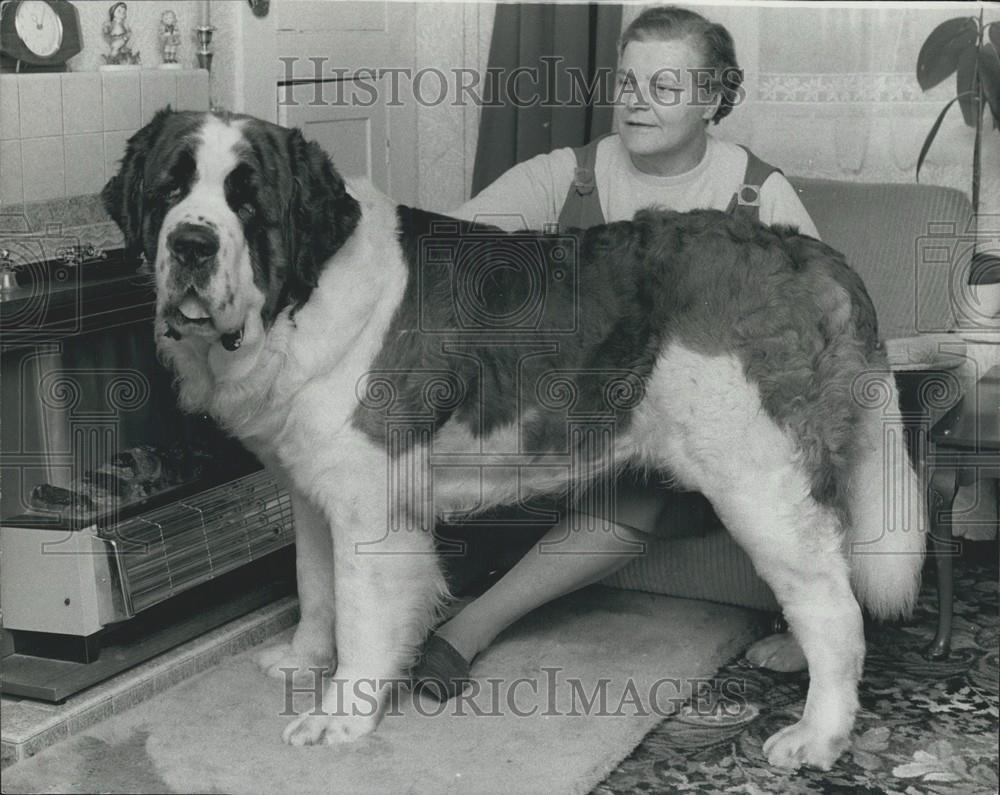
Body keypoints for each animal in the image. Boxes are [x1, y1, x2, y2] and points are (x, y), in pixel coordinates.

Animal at [105, 112, 924, 772]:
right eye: (169, 191)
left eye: (247, 201)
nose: (191, 243)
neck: (303, 294)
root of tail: (807, 253)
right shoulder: (312, 487)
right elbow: (314, 585)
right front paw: (302, 660)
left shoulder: (373, 509)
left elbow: (362, 610)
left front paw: (341, 716)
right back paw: (790, 656)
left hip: (757, 477)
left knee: (832, 603)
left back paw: (817, 734)